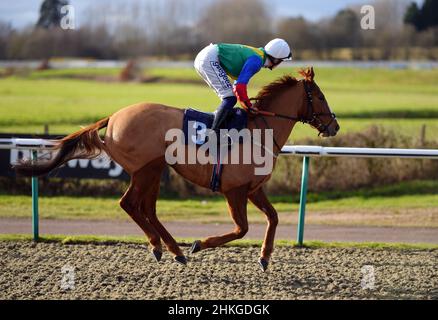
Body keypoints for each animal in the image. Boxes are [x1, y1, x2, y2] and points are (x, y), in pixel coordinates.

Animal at [15, 67, 338, 270]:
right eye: (321, 97)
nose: (334, 126)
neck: (261, 129)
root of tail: (114, 117)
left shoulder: (252, 189)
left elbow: (273, 217)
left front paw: (265, 257)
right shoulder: (234, 191)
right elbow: (241, 229)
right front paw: (199, 243)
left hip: (156, 170)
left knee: (146, 209)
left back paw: (169, 249)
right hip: (146, 169)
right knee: (130, 204)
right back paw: (169, 248)